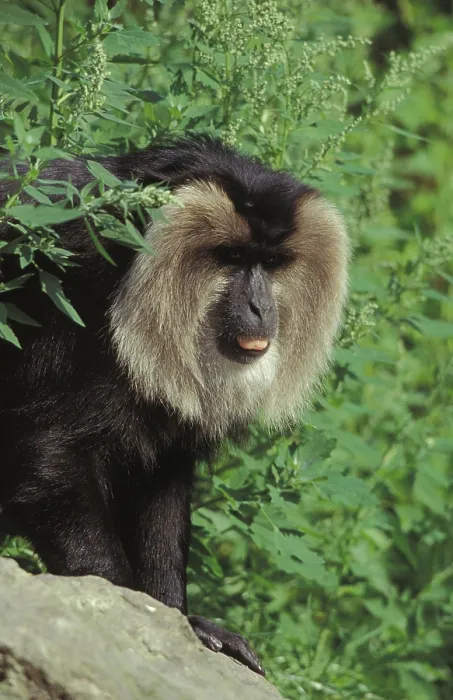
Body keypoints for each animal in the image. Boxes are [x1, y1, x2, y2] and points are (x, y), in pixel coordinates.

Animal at [0, 135, 349, 675]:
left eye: (271, 264)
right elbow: (48, 462)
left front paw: (177, 621)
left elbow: (159, 488)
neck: (126, 275)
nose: (259, 307)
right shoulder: (66, 285)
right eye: (231, 256)